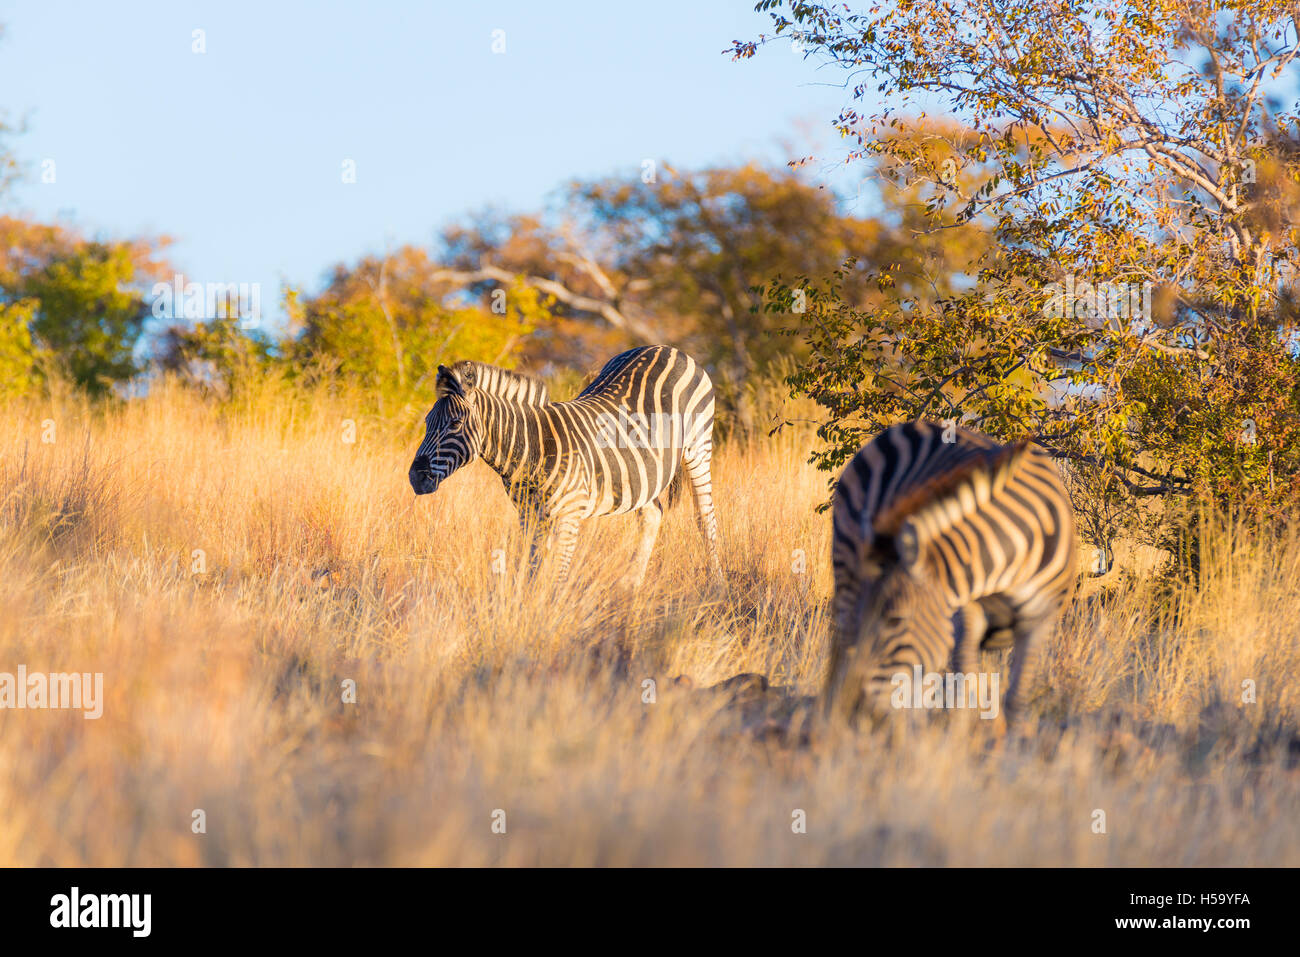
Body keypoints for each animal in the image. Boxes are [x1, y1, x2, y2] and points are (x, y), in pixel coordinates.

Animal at [408, 343, 722, 582]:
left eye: (455, 424)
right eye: (427, 423)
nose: (415, 478)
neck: (531, 452)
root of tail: (667, 348)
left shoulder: (569, 514)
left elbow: (557, 575)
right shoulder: (529, 515)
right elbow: (532, 569)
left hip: (698, 447)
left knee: (705, 518)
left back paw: (716, 587)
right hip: (644, 470)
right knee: (652, 515)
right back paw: (630, 588)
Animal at [821, 418, 1076, 722]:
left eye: (896, 620)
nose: (859, 708)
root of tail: (907, 425)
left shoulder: (1040, 621)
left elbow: (1015, 700)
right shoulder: (963, 613)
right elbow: (964, 689)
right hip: (847, 563)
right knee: (843, 645)